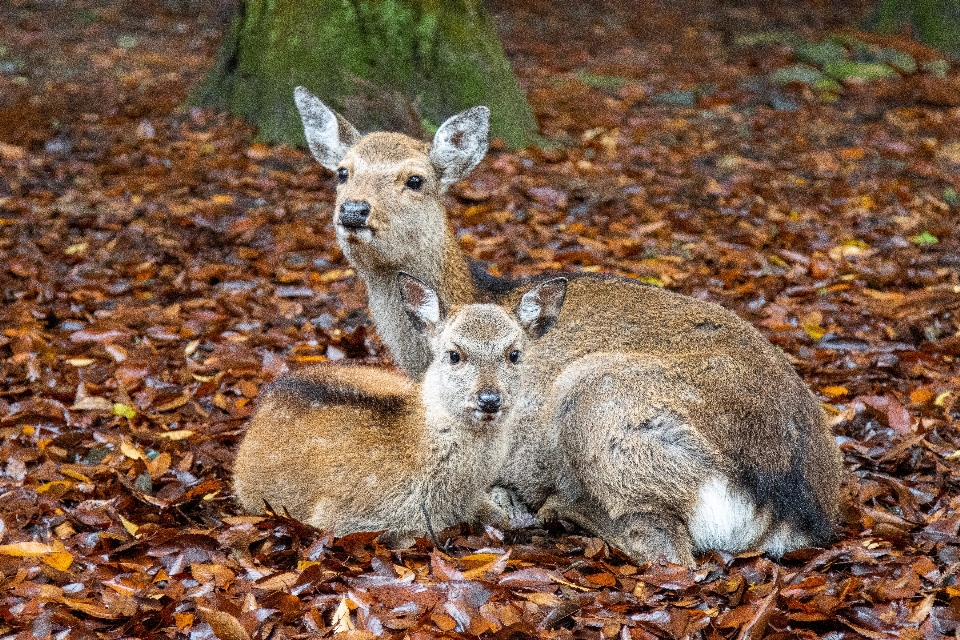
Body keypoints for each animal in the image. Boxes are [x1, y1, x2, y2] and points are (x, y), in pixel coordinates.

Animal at [294, 86, 848, 564]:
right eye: (342, 172)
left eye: (415, 179)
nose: (354, 211)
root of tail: (787, 507)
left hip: (599, 396)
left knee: (667, 548)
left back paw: (559, 508)